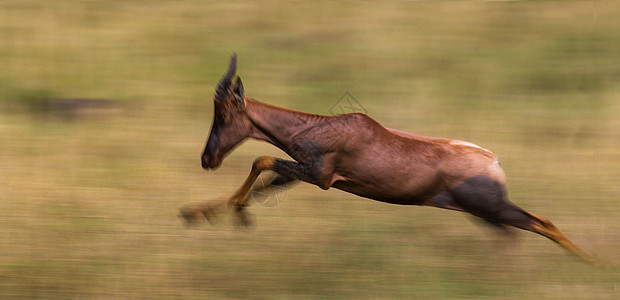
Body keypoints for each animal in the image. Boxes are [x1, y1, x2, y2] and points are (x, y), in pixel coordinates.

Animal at [179, 54, 596, 264]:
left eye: (223, 114)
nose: (207, 159)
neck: (326, 126)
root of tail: (492, 160)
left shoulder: (321, 177)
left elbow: (261, 160)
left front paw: (237, 215)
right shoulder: (302, 175)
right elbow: (265, 184)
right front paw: (197, 213)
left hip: (490, 206)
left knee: (541, 222)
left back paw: (593, 264)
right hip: (482, 212)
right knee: (516, 232)